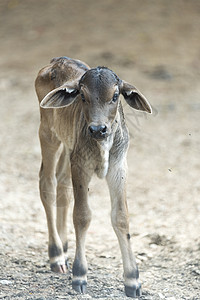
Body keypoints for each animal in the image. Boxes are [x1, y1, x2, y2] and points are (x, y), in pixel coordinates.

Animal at [35, 56, 152, 298]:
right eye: (82, 95)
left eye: (115, 96)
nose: (98, 129)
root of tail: (56, 61)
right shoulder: (81, 166)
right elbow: (82, 216)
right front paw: (79, 275)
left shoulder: (118, 167)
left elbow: (121, 217)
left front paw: (133, 280)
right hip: (48, 133)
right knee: (47, 183)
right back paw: (56, 254)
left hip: (68, 146)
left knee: (62, 185)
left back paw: (65, 246)